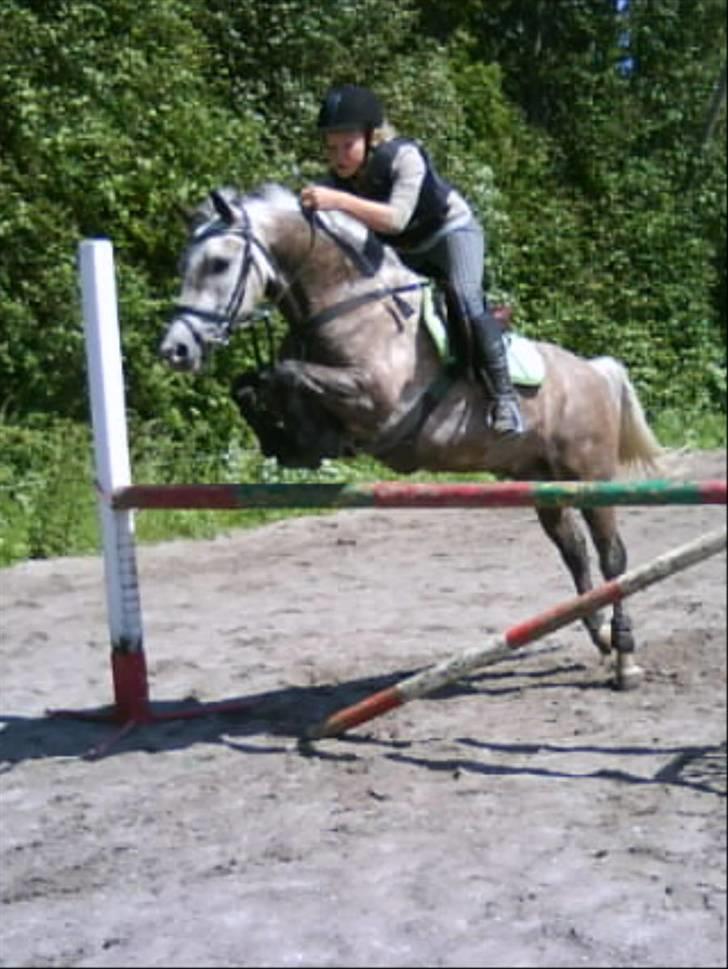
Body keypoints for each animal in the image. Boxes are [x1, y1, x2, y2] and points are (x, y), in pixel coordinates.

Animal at [160, 183, 664, 689]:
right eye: (182, 266)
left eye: (219, 263)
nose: (175, 350)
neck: (347, 302)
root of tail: (594, 372)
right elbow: (250, 383)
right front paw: (287, 443)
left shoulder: (375, 399)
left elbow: (287, 374)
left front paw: (303, 437)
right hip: (541, 480)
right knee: (574, 551)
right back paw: (600, 635)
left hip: (590, 474)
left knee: (612, 557)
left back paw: (625, 657)